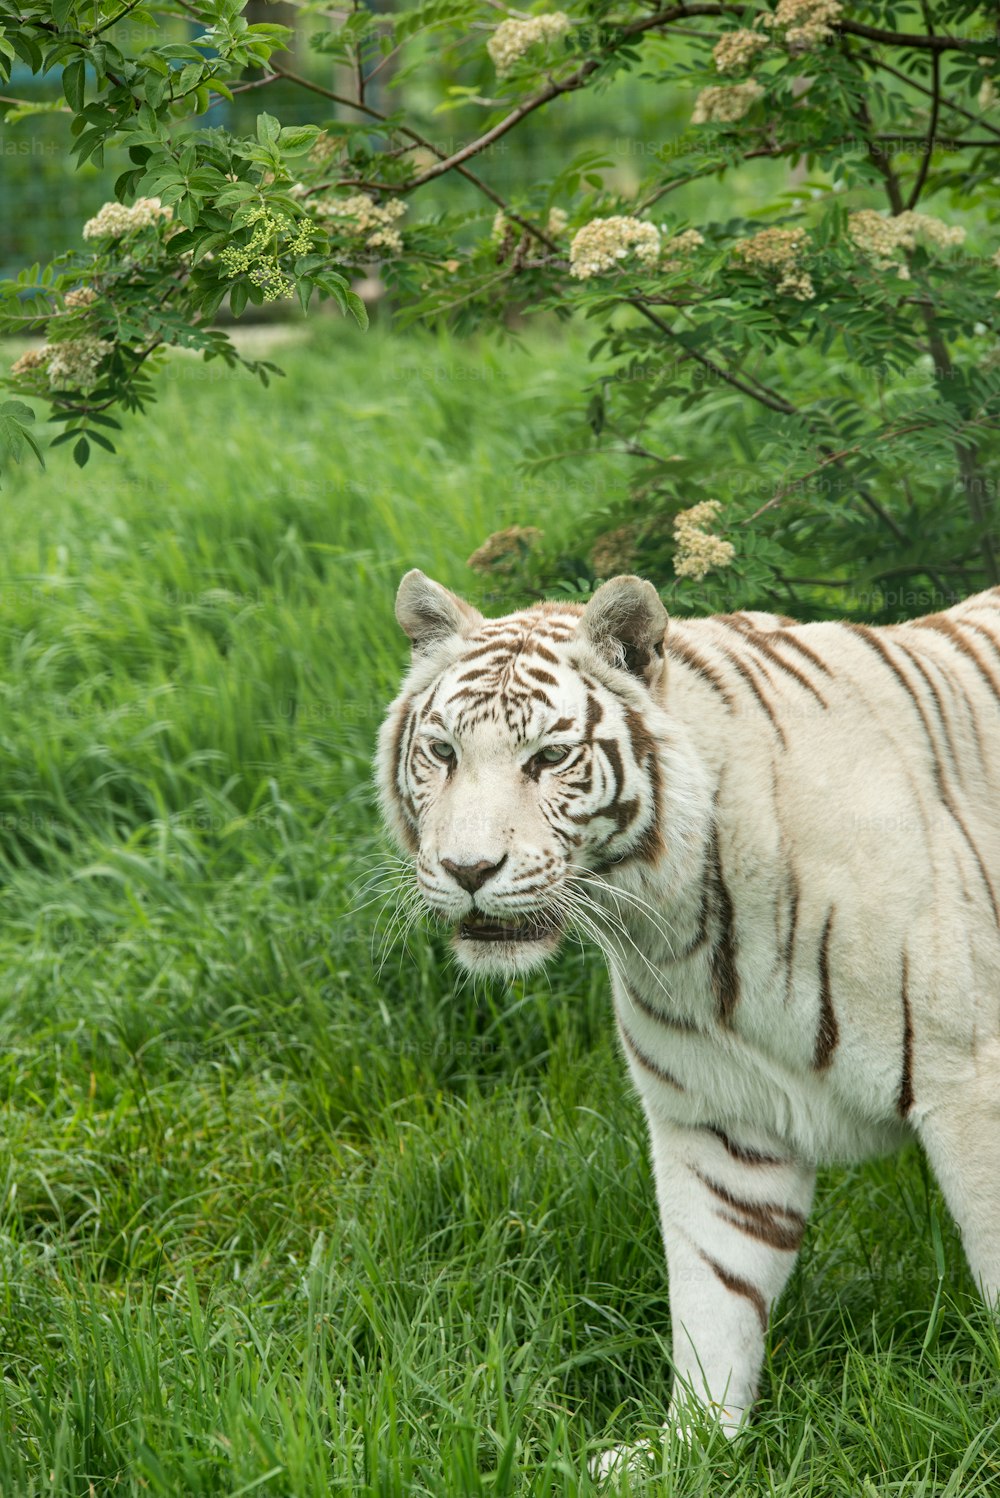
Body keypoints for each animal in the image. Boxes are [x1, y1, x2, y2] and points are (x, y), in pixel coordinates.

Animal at [377, 572, 999, 1474]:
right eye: (444, 753)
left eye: (548, 758)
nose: (467, 870)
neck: (675, 920)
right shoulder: (718, 1119)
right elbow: (714, 1294)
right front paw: (688, 1448)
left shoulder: (971, 1087)